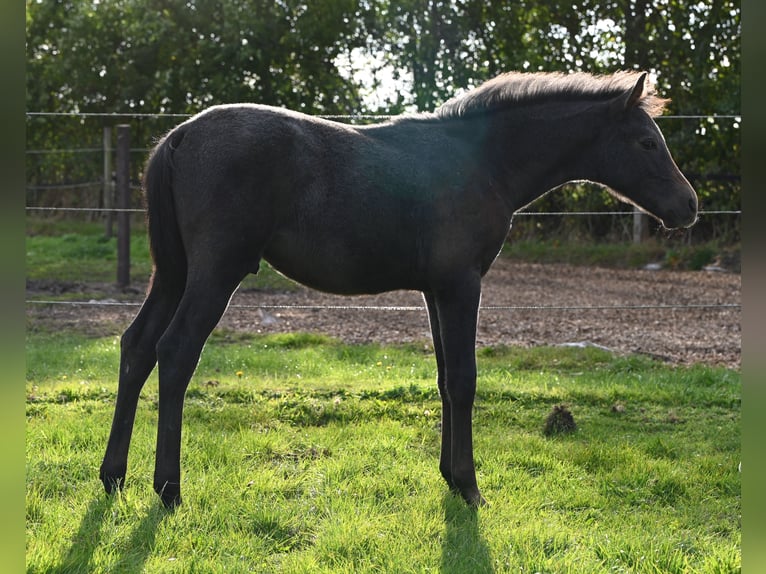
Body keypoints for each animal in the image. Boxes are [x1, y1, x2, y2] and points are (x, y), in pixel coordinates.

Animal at [100, 71, 697, 508]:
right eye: (647, 141)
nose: (688, 206)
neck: (483, 161)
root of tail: (177, 136)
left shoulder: (436, 290)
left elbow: (444, 379)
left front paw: (450, 476)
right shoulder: (461, 284)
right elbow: (464, 380)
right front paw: (470, 488)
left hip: (173, 272)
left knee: (137, 347)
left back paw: (113, 476)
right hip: (216, 271)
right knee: (175, 351)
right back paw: (168, 489)